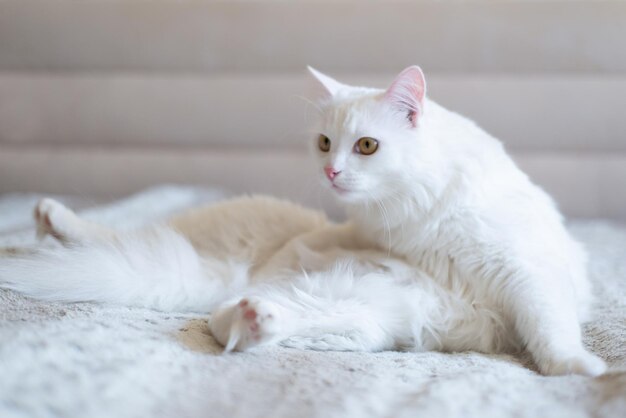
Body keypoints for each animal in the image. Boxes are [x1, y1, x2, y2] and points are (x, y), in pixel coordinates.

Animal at [0, 67, 604, 378]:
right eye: (324, 143)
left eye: (366, 146)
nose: (332, 171)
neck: (417, 212)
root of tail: (240, 277)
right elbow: (550, 330)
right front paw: (591, 373)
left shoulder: (522, 272)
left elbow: (550, 333)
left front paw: (581, 371)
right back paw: (47, 220)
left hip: (363, 317)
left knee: (229, 319)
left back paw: (254, 318)